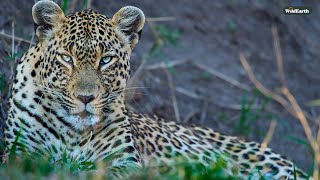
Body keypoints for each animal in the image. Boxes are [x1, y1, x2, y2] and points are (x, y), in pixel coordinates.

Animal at [4, 0, 310, 179]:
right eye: (67, 58)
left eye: (106, 60)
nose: (86, 98)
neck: (73, 133)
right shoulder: (19, 153)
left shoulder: (124, 163)